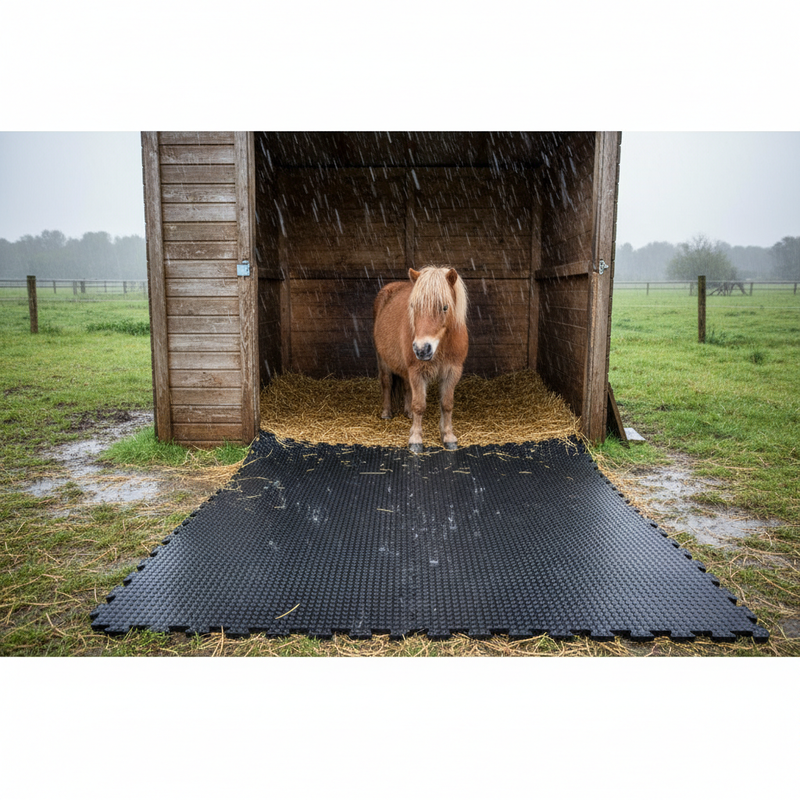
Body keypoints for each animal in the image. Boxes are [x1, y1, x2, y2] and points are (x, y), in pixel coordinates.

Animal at [373, 265, 469, 452]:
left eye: (445, 307)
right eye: (413, 306)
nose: (421, 349)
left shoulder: (452, 371)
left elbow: (447, 404)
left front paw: (448, 437)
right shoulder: (417, 371)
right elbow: (419, 405)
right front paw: (415, 440)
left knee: (405, 386)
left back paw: (407, 413)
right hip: (383, 360)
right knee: (386, 383)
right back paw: (387, 413)